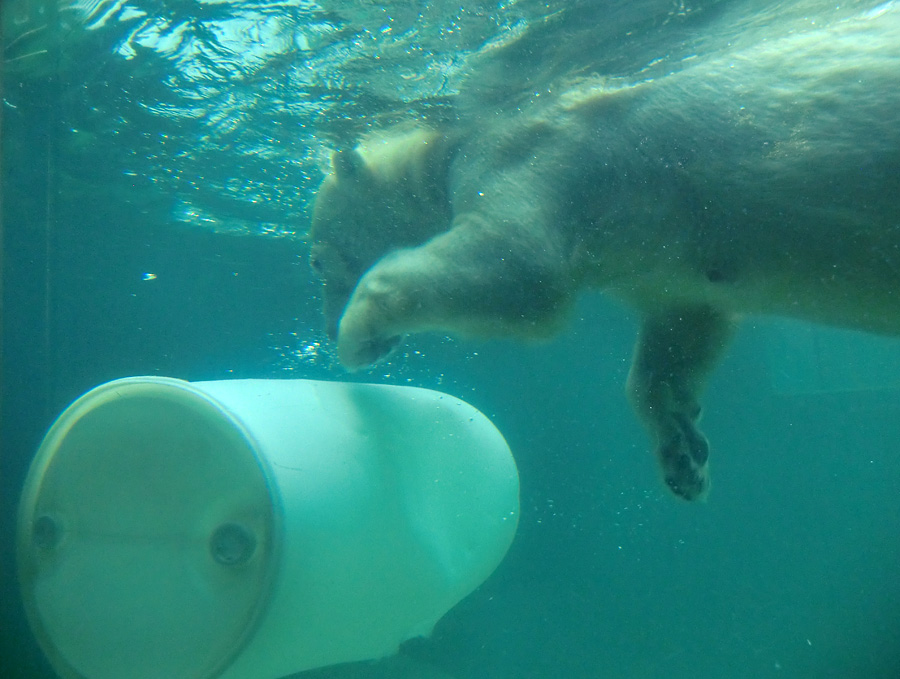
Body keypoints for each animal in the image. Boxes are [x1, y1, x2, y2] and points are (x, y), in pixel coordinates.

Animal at [308, 5, 900, 502]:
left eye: (316, 259)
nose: (325, 324)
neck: (449, 142)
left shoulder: (529, 156)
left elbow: (517, 268)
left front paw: (359, 333)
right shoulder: (663, 262)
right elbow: (682, 324)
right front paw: (684, 452)